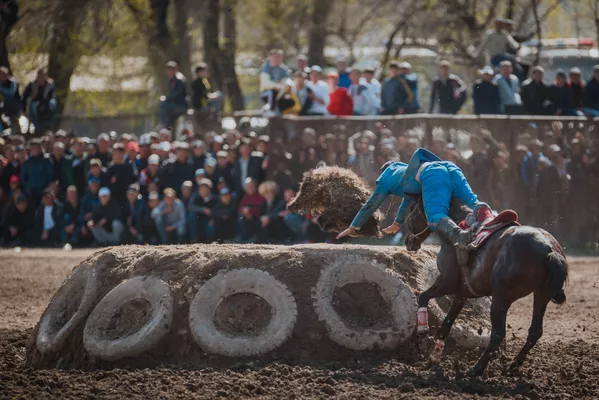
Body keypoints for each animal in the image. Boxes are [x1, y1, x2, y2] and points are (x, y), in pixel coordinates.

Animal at [402, 197, 568, 377]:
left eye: (412, 211)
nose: (407, 241)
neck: (457, 231)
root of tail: (549, 250)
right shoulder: (462, 293)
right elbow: (445, 324)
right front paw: (434, 357)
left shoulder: (448, 282)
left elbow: (423, 296)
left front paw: (422, 329)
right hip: (541, 296)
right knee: (535, 331)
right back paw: (513, 365)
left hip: (501, 298)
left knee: (498, 333)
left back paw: (476, 369)